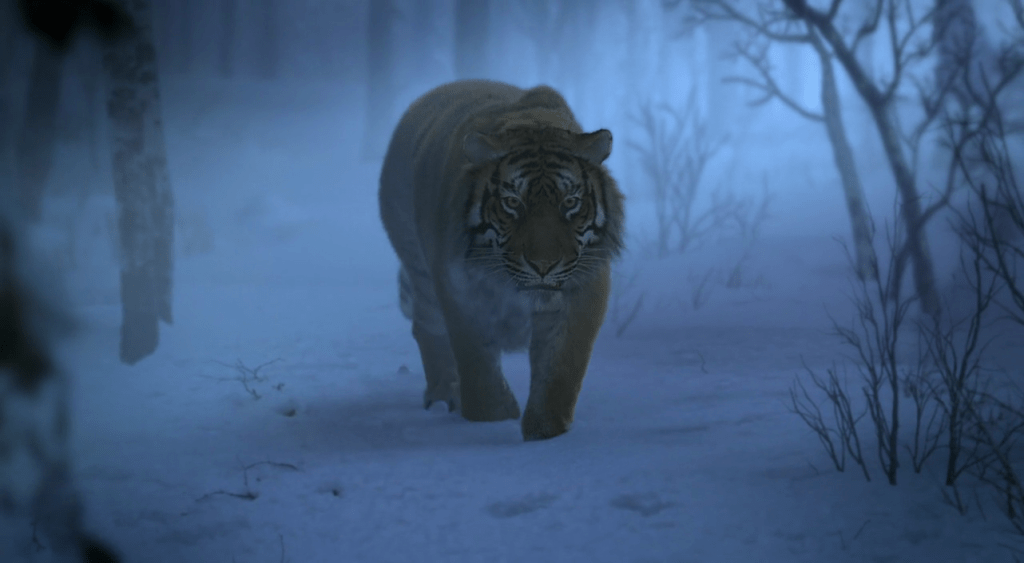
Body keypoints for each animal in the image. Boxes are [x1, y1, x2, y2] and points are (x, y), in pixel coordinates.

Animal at [378, 80, 625, 441]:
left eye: (570, 202)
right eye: (512, 203)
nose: (543, 265)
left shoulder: (581, 290)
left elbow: (560, 368)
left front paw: (546, 431)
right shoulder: (461, 291)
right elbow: (478, 366)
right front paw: (493, 419)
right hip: (419, 270)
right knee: (427, 327)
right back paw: (443, 397)